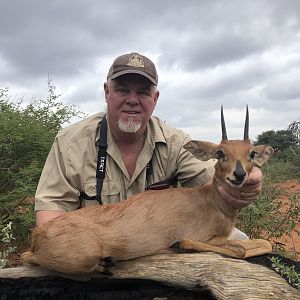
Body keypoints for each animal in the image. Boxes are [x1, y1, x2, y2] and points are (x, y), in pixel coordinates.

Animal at [21, 105, 274, 274]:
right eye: (221, 153)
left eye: (251, 153)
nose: (239, 175)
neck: (210, 201)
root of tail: (38, 234)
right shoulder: (208, 237)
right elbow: (243, 249)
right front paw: (179, 245)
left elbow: (264, 243)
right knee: (26, 257)